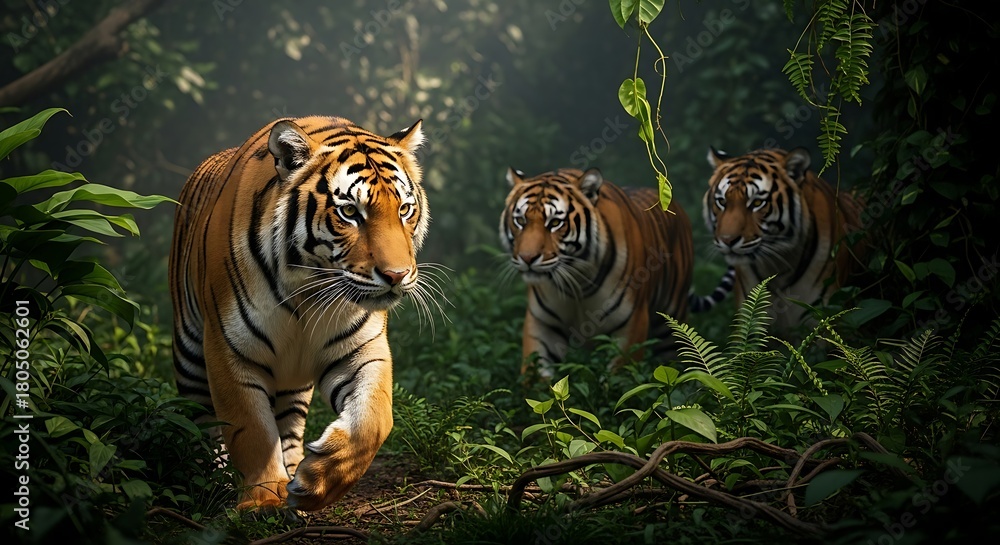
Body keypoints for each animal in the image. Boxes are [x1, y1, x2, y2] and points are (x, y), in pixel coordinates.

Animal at [169, 115, 429, 512]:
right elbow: (251, 430)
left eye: (403, 209)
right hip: (190, 356)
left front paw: (315, 482)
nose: (397, 276)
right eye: (349, 212)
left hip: (291, 383)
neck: (310, 290)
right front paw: (262, 499)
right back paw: (210, 479)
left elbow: (374, 420)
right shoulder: (230, 350)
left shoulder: (362, 351)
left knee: (288, 425)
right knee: (200, 422)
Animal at [499, 167, 694, 378]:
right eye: (520, 220)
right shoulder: (541, 324)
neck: (577, 283)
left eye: (555, 223)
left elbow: (619, 380)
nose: (527, 258)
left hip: (673, 320)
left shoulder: (632, 324)